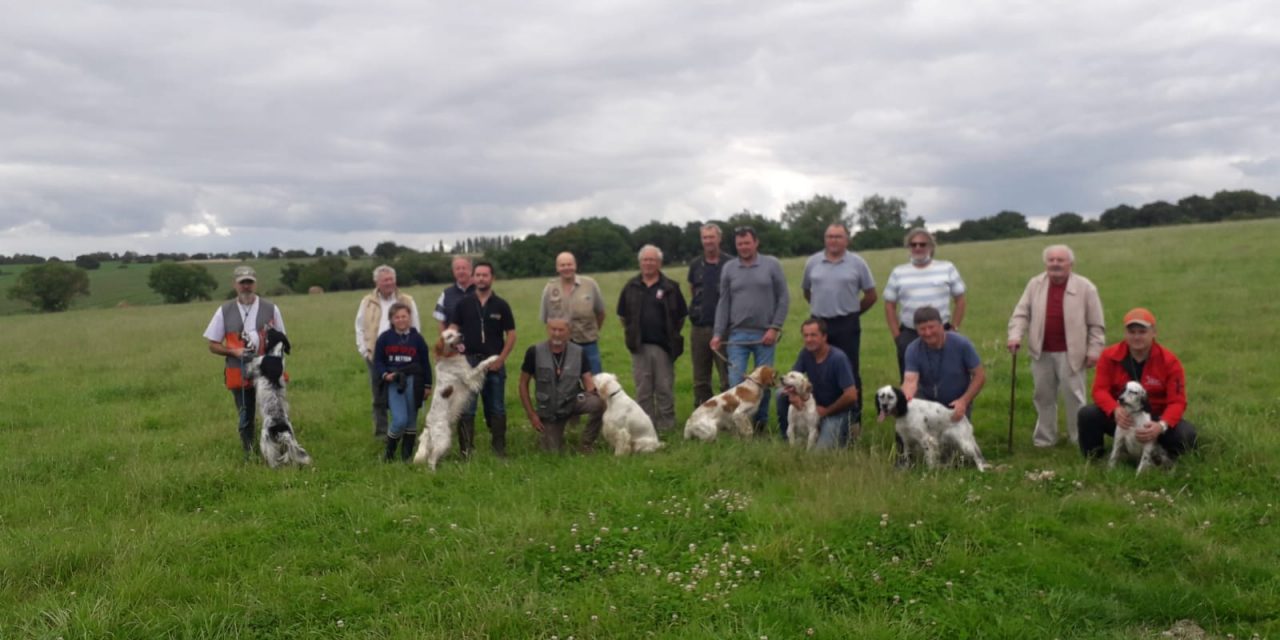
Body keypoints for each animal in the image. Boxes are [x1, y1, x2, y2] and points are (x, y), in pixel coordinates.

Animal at [249, 327, 312, 468]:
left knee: (273, 462)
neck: (276, 354)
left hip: (266, 442)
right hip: (289, 445)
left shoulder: (257, 362)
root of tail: (282, 431)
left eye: (271, 332)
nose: (267, 326)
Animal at [412, 330, 496, 471]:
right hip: (444, 439)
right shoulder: (469, 376)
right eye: (449, 336)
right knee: (431, 459)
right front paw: (493, 358)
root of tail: (428, 426)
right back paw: (433, 472)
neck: (449, 357)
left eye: (456, 332)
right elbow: (480, 365)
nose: (461, 336)